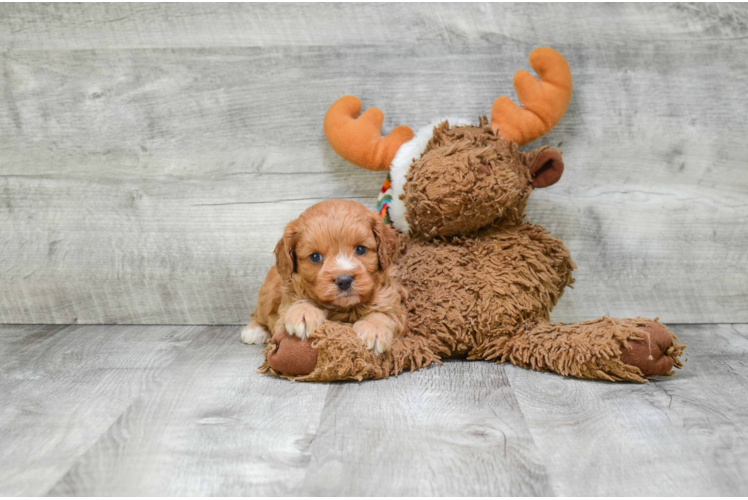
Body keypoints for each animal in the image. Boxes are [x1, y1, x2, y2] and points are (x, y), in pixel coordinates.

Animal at [241, 197, 406, 354]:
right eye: (315, 257)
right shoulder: (284, 308)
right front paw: (303, 313)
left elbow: (384, 314)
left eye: (360, 249)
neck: (342, 308)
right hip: (267, 293)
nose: (344, 281)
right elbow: (297, 302)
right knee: (258, 314)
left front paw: (374, 328)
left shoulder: (392, 303)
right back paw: (254, 330)